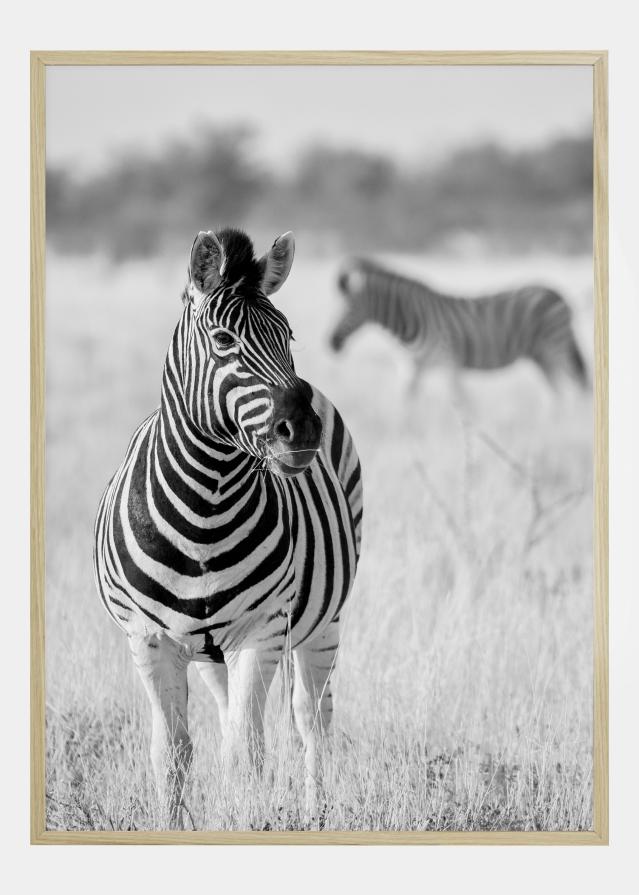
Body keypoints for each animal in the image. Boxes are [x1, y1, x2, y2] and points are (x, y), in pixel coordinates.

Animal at [93, 228, 363, 827]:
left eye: (288, 335)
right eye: (222, 340)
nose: (301, 431)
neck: (205, 509)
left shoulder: (260, 632)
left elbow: (247, 754)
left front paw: (246, 820)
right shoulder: (149, 639)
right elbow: (170, 753)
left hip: (323, 620)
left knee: (312, 720)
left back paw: (316, 815)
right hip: (210, 649)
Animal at [330, 258, 589, 394]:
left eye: (348, 308)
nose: (331, 343)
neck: (412, 319)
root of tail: (557, 293)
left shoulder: (449, 363)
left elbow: (463, 404)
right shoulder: (412, 368)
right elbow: (406, 405)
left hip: (556, 346)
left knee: (578, 385)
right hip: (540, 355)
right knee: (556, 393)